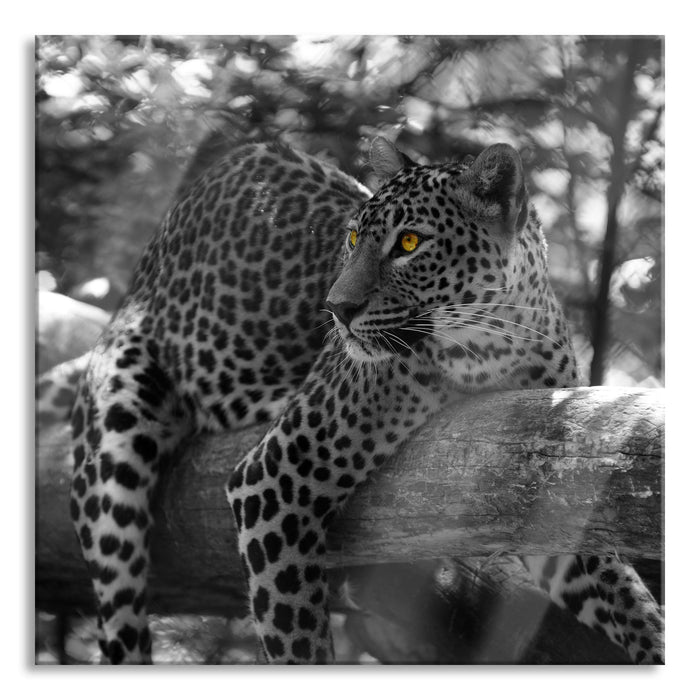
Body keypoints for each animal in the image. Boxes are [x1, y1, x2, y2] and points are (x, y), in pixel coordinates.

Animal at [60, 136, 664, 664]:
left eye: (409, 244)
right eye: (353, 239)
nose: (337, 308)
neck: (491, 347)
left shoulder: (538, 470)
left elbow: (624, 594)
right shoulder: (272, 478)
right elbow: (295, 641)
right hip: (114, 455)